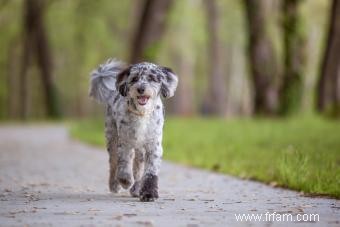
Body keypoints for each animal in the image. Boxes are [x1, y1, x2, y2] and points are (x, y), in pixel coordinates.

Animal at [89, 59, 178, 201]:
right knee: (113, 163)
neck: (142, 114)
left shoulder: (154, 145)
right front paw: (125, 180)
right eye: (134, 78)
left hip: (140, 151)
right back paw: (115, 184)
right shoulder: (125, 142)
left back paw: (136, 189)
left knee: (138, 169)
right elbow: (124, 163)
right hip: (112, 138)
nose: (140, 89)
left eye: (152, 78)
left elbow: (150, 172)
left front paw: (148, 193)